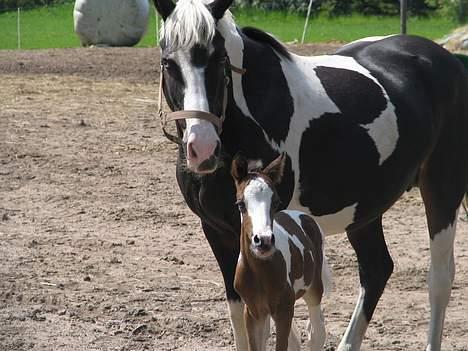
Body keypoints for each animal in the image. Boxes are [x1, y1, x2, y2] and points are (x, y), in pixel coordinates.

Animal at [232, 155, 330, 351]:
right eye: (240, 204)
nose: (263, 241)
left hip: (313, 290)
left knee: (317, 334)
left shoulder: (284, 310)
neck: (259, 272)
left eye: (276, 202)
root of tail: (304, 216)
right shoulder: (253, 311)